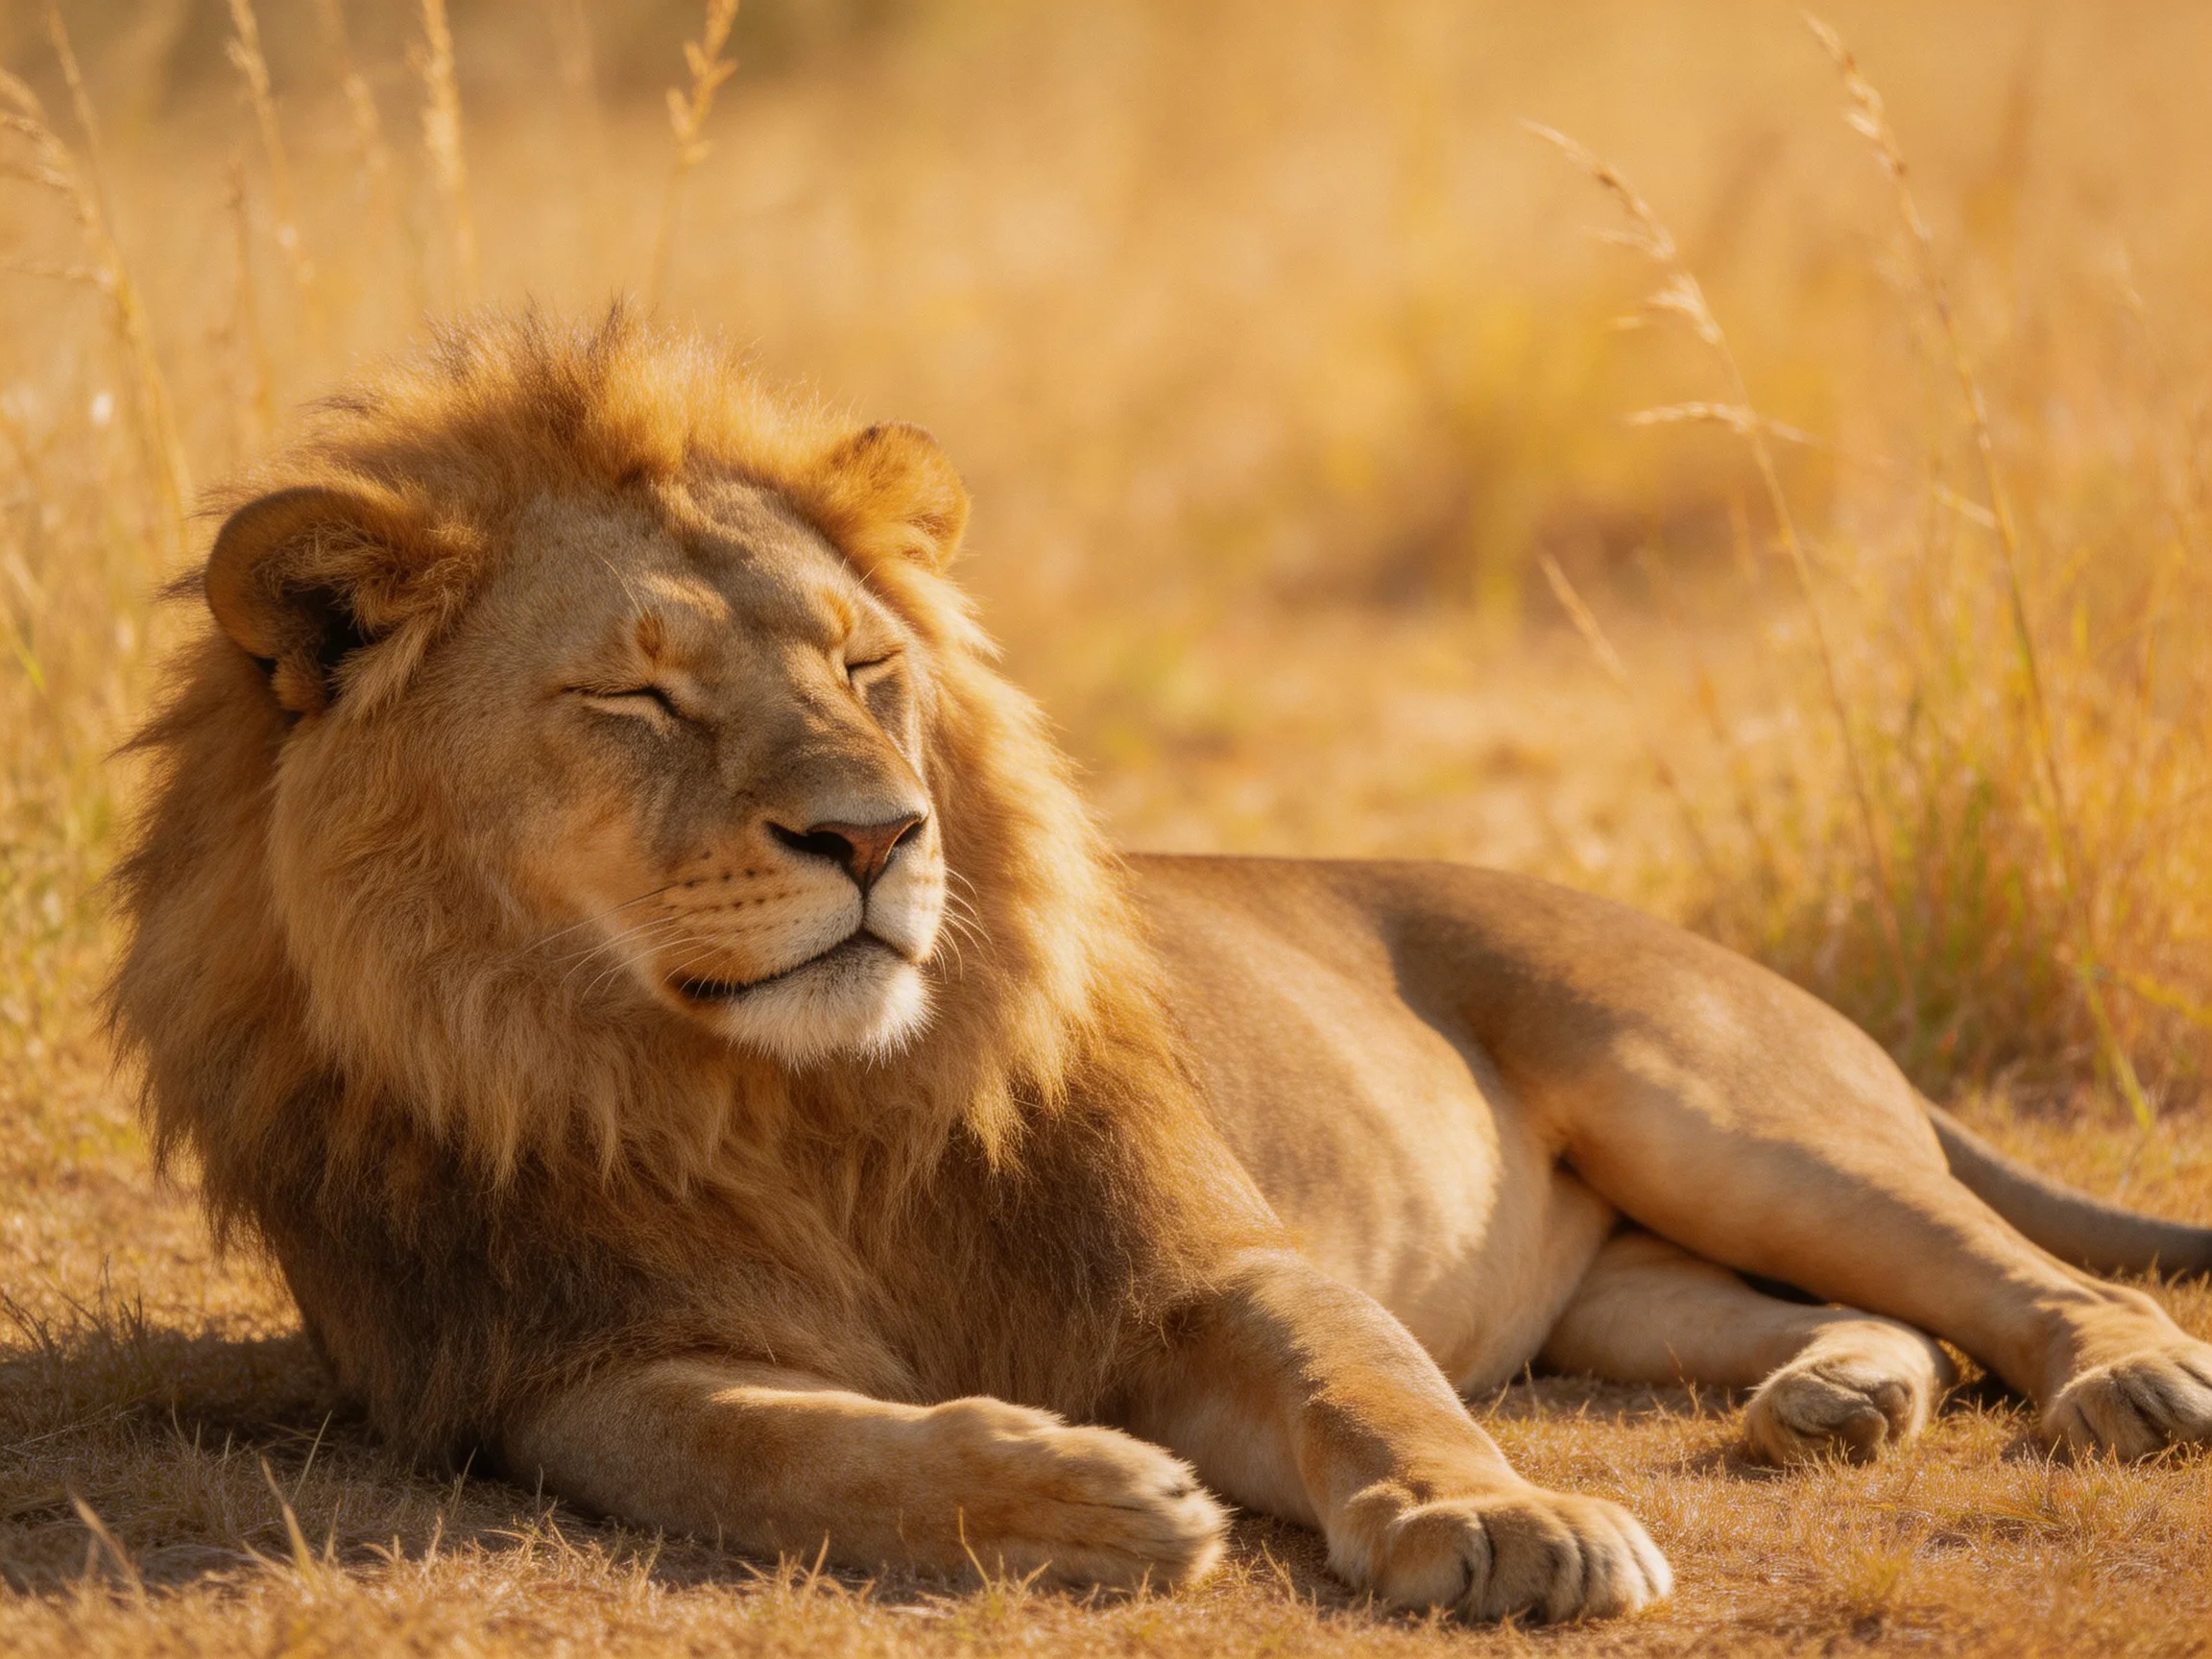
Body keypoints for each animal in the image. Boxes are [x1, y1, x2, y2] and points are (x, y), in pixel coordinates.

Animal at [110, 311, 2212, 1624]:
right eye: (635, 697)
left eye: (865, 665)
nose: (878, 835)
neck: (777, 1102)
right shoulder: (553, 1364)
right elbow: (763, 1442)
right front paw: (1076, 1497)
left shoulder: (1206, 1258)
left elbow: (1365, 1386)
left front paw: (1502, 1516)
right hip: (1626, 1286)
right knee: (1853, 1316)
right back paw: (1839, 1397)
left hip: (1717, 1105)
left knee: (2025, 1280)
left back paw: (2128, 1384)